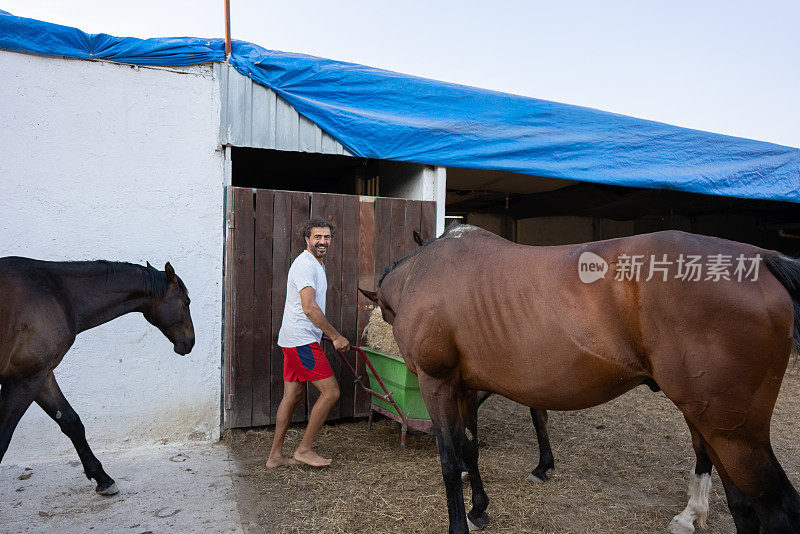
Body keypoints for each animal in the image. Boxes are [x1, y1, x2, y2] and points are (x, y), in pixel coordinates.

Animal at [0, 258, 194, 496]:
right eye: (186, 302)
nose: (190, 341)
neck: (58, 294)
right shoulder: (24, 380)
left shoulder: (41, 377)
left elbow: (71, 423)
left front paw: (103, 478)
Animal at [362, 226, 800, 534]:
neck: (424, 273)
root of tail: (760, 257)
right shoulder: (465, 387)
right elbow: (470, 448)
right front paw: (479, 508)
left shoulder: (437, 384)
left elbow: (451, 461)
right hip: (720, 429)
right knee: (743, 508)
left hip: (734, 435)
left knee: (778, 511)